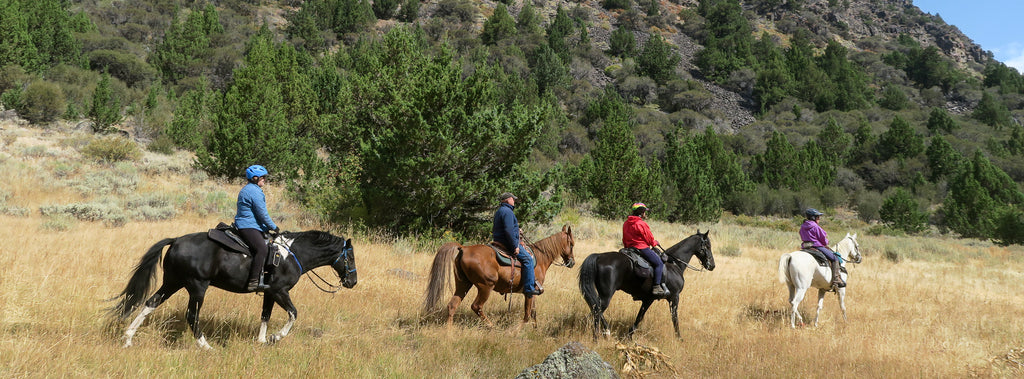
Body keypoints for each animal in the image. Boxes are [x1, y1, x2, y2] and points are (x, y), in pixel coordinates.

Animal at [110, 228, 358, 350]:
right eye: (351, 257)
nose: (352, 281)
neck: (291, 254)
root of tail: (177, 240)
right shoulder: (280, 291)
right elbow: (293, 314)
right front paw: (276, 337)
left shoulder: (269, 293)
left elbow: (265, 315)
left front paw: (261, 341)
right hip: (197, 287)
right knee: (192, 316)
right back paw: (206, 346)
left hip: (173, 282)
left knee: (150, 303)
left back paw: (128, 338)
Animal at [421, 225, 577, 327]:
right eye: (572, 244)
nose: (572, 262)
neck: (540, 258)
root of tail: (464, 248)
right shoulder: (530, 291)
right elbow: (527, 314)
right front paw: (518, 330)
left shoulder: (532, 293)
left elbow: (533, 312)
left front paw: (535, 329)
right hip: (485, 286)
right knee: (476, 306)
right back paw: (491, 326)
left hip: (463, 284)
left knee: (452, 305)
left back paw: (449, 332)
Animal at [581, 230, 716, 340]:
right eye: (708, 246)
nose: (712, 265)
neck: (674, 264)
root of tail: (599, 256)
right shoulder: (674, 297)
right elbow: (674, 317)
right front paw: (679, 338)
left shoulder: (648, 299)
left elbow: (639, 317)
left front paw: (629, 335)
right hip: (606, 295)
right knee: (597, 310)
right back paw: (598, 336)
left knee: (594, 310)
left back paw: (601, 329)